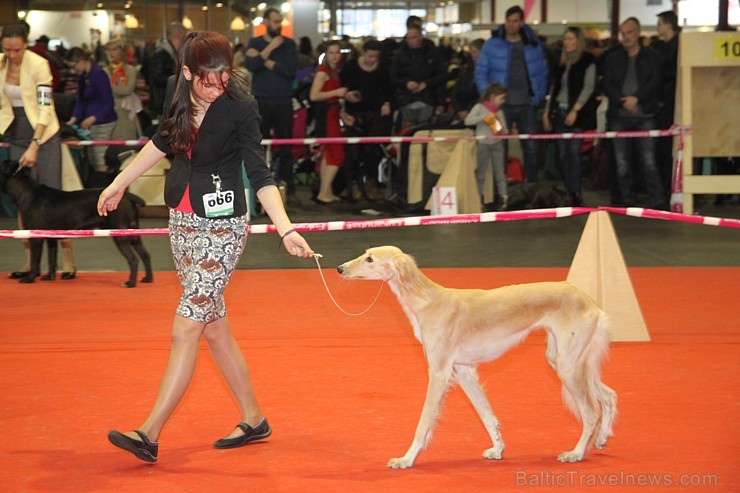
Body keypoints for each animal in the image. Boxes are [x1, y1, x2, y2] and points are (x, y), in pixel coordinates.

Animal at [0, 160, 153, 286]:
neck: (25, 191)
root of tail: (127, 195)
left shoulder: (35, 238)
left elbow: (34, 260)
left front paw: (29, 278)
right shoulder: (51, 238)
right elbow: (51, 259)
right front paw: (49, 277)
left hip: (119, 234)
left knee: (133, 259)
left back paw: (130, 283)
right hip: (134, 233)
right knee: (145, 255)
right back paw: (147, 278)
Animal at [338, 246, 616, 468]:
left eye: (370, 259)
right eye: (364, 254)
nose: (340, 268)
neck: (428, 301)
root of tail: (590, 302)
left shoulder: (439, 373)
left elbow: (424, 421)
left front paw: (406, 459)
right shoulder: (464, 371)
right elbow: (487, 416)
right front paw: (498, 449)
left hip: (568, 365)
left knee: (591, 412)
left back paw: (576, 453)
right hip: (563, 359)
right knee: (609, 396)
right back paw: (602, 438)